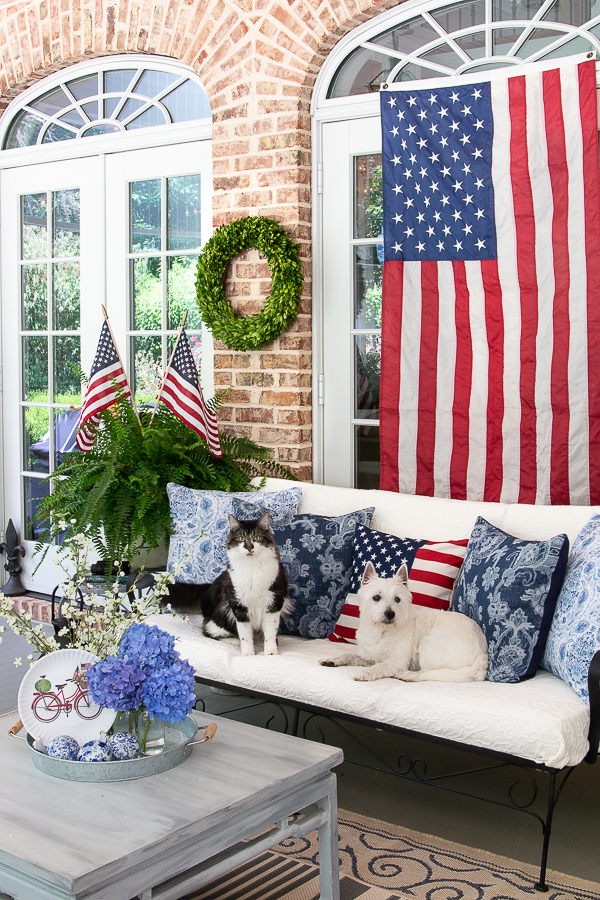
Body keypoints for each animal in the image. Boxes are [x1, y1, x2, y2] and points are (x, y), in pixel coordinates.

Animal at [161, 512, 292, 652]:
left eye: (256, 537)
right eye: (241, 538)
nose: (249, 547)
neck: (252, 568)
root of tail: (209, 588)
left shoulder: (273, 603)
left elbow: (270, 633)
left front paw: (271, 652)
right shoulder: (238, 605)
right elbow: (245, 635)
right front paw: (247, 653)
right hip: (220, 619)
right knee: (209, 632)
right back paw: (236, 641)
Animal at [318, 564, 488, 684]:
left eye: (397, 599)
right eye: (376, 597)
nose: (390, 613)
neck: (382, 631)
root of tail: (482, 655)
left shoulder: (395, 662)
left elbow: (379, 667)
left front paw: (365, 674)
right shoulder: (371, 656)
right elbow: (351, 655)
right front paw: (333, 660)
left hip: (428, 643)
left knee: (425, 674)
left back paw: (406, 675)